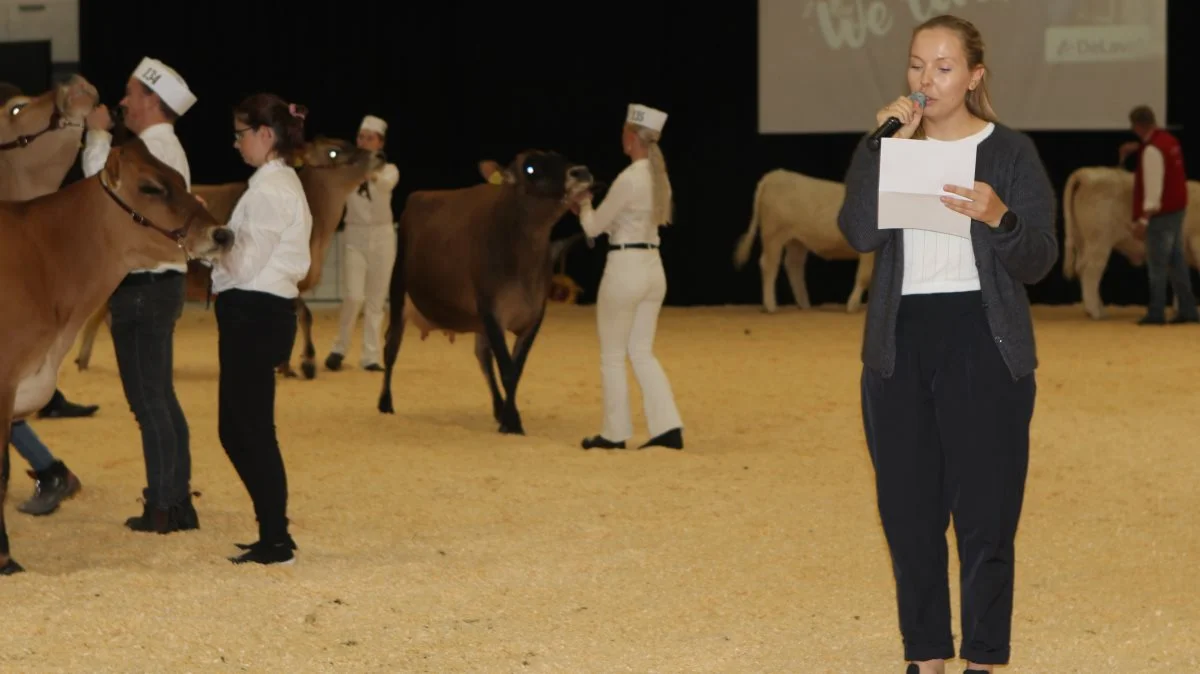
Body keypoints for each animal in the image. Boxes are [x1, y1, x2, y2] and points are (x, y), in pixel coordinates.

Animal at [70, 133, 386, 374]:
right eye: (334, 151)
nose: (379, 155)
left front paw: (287, 364)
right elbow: (304, 314)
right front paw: (304, 362)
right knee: (98, 313)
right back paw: (83, 359)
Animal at [376, 149, 592, 431]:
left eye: (561, 157)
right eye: (531, 168)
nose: (582, 172)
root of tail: (418, 196)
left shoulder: (533, 315)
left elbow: (515, 369)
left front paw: (508, 415)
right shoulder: (491, 309)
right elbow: (507, 370)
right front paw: (513, 423)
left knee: (482, 356)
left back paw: (498, 408)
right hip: (398, 289)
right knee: (391, 346)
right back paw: (385, 403)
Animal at [729, 169, 873, 314]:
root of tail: (775, 174)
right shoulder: (868, 253)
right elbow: (864, 277)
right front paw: (853, 306)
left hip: (796, 241)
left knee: (793, 265)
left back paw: (804, 305)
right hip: (773, 234)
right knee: (769, 264)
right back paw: (770, 306)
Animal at [1065, 164, 1195, 316]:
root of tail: (1088, 173)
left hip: (1082, 240)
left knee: (1082, 269)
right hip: (1099, 242)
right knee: (1090, 271)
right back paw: (1096, 313)